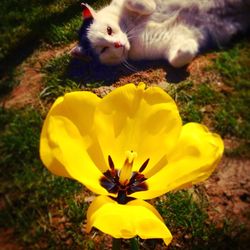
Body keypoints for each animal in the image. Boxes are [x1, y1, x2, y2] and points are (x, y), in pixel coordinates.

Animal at [71, 0, 250, 68]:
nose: (118, 44)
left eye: (109, 30)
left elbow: (139, 3)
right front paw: (190, 48)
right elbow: (178, 59)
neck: (132, 29)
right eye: (103, 50)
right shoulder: (174, 39)